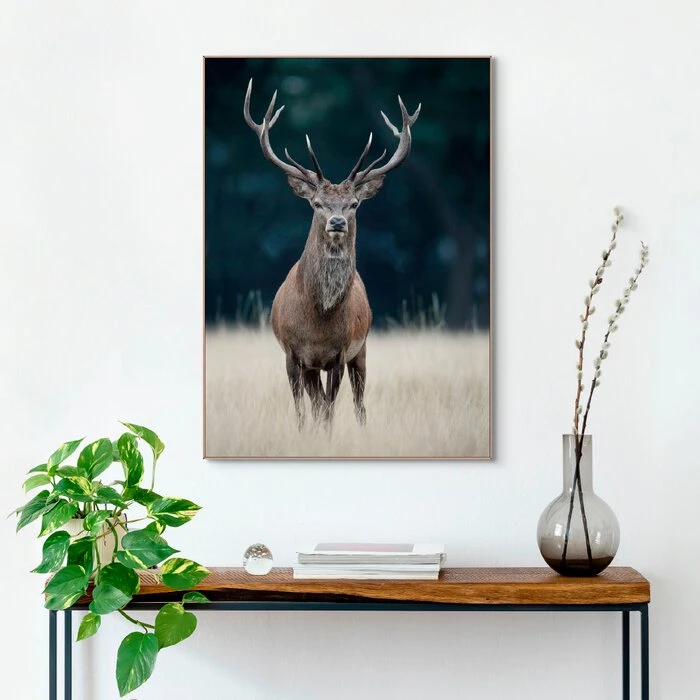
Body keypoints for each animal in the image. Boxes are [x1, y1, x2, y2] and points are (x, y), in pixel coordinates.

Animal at [243, 79, 421, 429]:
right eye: (317, 203)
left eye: (354, 204)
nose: (337, 221)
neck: (319, 320)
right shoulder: (293, 355)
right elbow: (303, 410)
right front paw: (303, 433)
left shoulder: (339, 354)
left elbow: (329, 410)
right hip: (315, 366)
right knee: (316, 402)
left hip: (362, 349)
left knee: (359, 404)